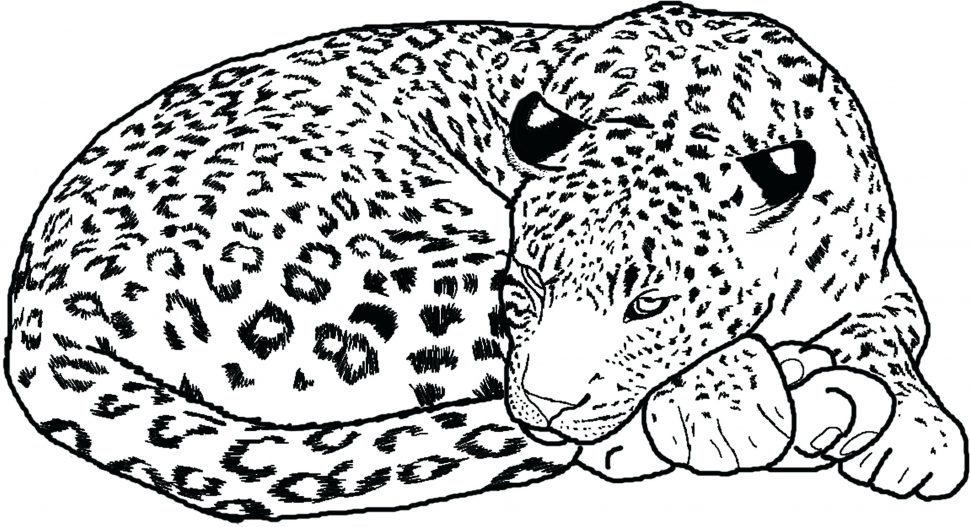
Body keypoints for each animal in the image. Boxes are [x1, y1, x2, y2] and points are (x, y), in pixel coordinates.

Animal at [5, 1, 967, 521]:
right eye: (529, 287)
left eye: (649, 303)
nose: (547, 401)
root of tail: (40, 288)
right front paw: (731, 406)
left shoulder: (882, 281)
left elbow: (892, 333)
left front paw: (919, 437)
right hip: (400, 262)